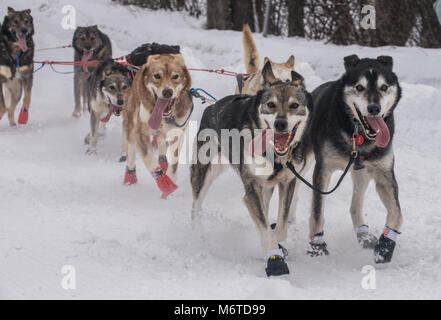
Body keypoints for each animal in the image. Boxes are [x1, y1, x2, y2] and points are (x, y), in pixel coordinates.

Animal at [124, 52, 192, 199]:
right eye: (157, 76)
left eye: (175, 76)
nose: (167, 92)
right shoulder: (140, 133)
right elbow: (150, 160)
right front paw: (165, 184)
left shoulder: (178, 133)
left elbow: (174, 162)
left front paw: (170, 179)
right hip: (130, 128)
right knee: (130, 152)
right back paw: (129, 178)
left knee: (161, 144)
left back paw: (163, 163)